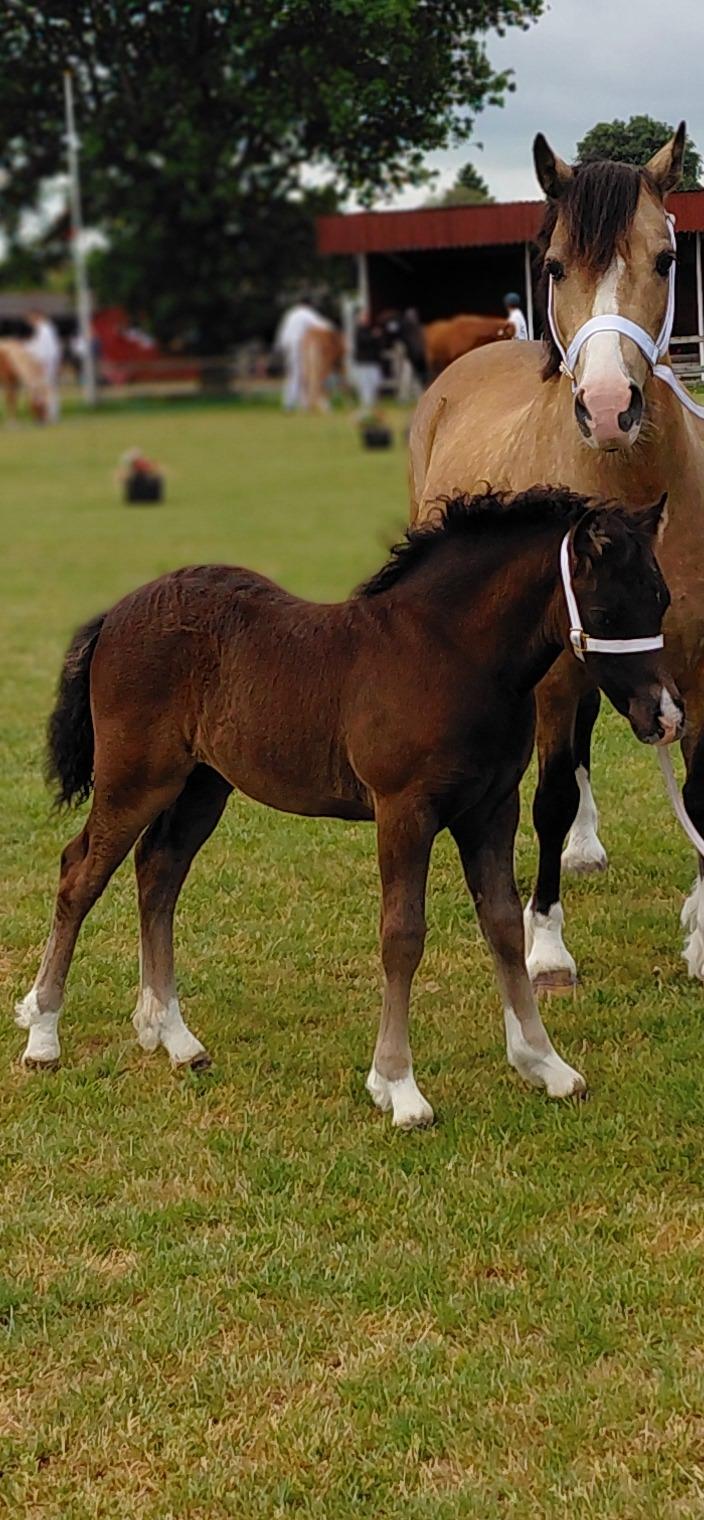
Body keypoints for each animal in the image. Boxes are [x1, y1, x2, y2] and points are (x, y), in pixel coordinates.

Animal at [16, 487, 679, 1126]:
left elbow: (502, 925)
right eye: (606, 612)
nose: (666, 716)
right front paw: (398, 1088)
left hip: (203, 786)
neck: (450, 656)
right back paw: (43, 1035)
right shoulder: (404, 811)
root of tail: (117, 613)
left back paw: (174, 1035)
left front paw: (544, 1063)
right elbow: (402, 936)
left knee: (158, 871)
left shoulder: (491, 810)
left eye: (663, 601)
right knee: (80, 874)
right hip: (135, 781)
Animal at [409, 125, 704, 991]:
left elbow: (700, 786)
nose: (607, 407)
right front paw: (544, 948)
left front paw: (702, 935)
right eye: (553, 266)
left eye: (667, 259)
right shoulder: (556, 671)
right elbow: (547, 797)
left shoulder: (692, 661)